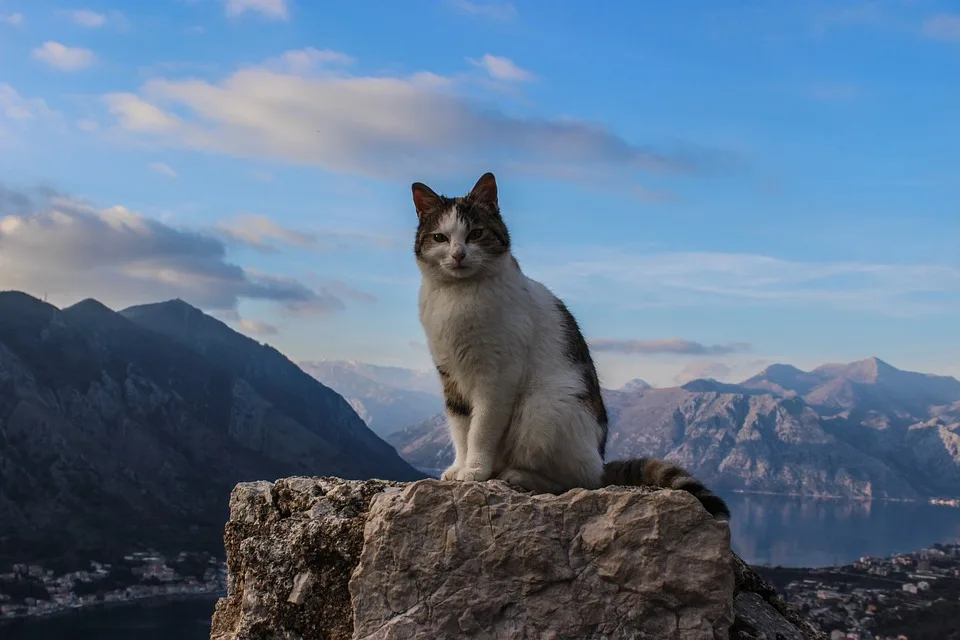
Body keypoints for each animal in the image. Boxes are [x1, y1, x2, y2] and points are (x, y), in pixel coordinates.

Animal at [410, 171, 728, 520]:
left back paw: (517, 475)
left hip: (545, 407)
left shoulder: (497, 376)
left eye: (476, 233)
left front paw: (476, 470)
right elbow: (459, 428)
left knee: (577, 481)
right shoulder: (450, 374)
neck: (455, 298)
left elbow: (480, 428)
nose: (458, 254)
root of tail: (601, 463)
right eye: (440, 238)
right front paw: (459, 467)